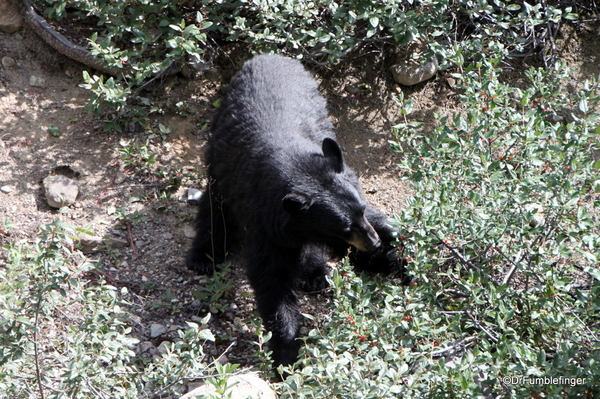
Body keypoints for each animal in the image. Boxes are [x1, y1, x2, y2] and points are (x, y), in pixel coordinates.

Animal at [188, 54, 410, 370]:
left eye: (362, 209)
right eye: (344, 226)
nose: (373, 242)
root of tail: (268, 55)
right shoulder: (265, 221)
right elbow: (271, 279)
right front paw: (286, 352)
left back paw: (314, 273)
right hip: (219, 156)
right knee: (215, 206)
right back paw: (204, 256)